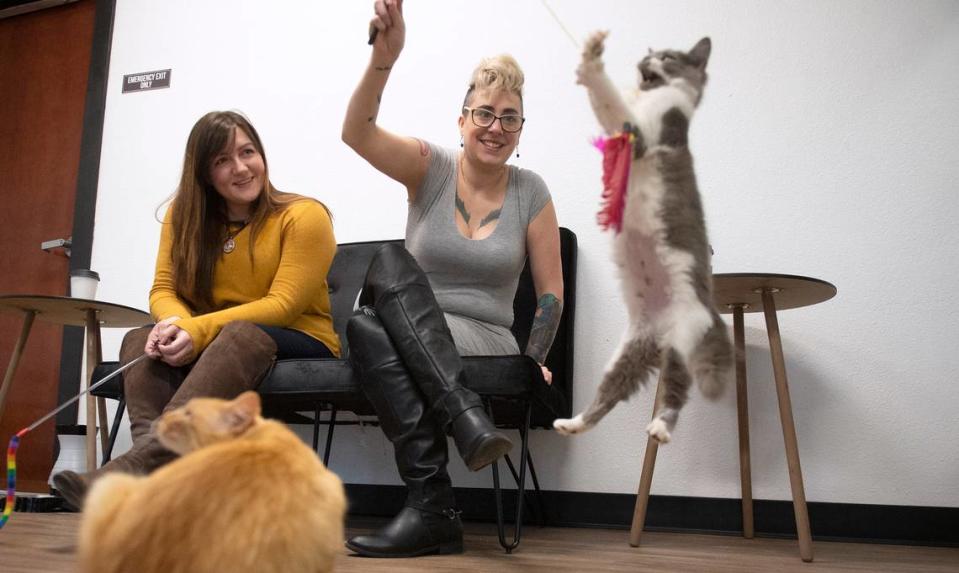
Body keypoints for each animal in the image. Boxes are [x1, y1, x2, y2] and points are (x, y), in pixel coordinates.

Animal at [552, 31, 732, 442]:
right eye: (650, 55)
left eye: (667, 57)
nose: (643, 62)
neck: (649, 94)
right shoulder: (620, 130)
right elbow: (603, 101)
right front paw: (588, 65)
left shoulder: (642, 130)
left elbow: (609, 99)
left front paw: (592, 57)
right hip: (628, 353)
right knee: (609, 394)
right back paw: (571, 424)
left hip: (686, 335)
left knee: (678, 391)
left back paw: (661, 428)